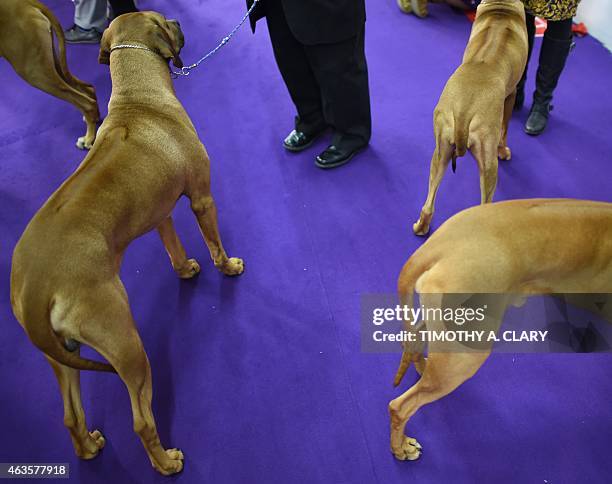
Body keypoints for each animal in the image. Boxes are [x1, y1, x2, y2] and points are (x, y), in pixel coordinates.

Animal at [0, 0, 99, 148]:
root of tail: (26, 3)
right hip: (50, 62)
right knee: (88, 89)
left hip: (33, 70)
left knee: (87, 103)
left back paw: (88, 138)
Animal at [9, 11, 244, 476]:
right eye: (163, 21)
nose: (177, 21)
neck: (139, 98)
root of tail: (34, 288)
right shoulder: (202, 197)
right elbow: (214, 243)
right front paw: (227, 268)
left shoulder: (161, 212)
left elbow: (173, 246)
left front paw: (186, 270)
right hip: (125, 342)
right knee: (140, 421)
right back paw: (167, 462)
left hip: (61, 358)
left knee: (70, 416)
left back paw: (89, 449)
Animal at [414, 0, 528, 234]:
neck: (501, 7)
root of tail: (464, 111)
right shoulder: (511, 95)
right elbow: (506, 127)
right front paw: (504, 150)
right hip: (488, 165)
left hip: (440, 151)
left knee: (429, 203)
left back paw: (421, 226)